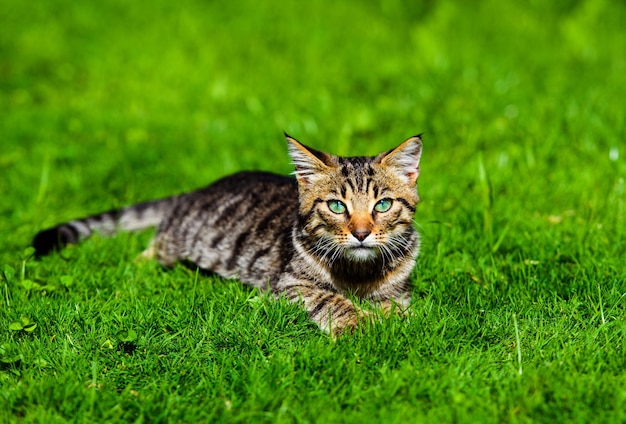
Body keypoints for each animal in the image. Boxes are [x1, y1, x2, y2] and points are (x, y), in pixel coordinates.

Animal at [35, 134, 424, 336]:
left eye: (383, 205)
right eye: (337, 206)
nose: (361, 233)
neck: (358, 273)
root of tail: (195, 191)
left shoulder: (400, 290)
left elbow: (399, 307)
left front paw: (392, 321)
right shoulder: (289, 283)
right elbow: (330, 299)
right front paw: (360, 323)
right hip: (179, 236)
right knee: (154, 247)